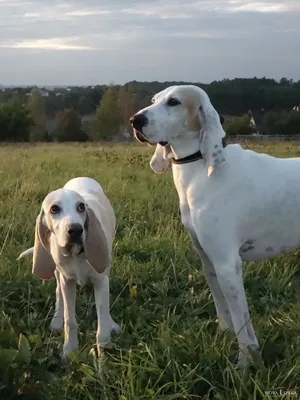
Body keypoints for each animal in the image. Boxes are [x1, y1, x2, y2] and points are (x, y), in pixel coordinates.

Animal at [17, 178, 119, 360]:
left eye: (81, 207)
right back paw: (57, 320)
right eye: (54, 209)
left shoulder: (101, 281)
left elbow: (102, 322)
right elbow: (70, 320)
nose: (76, 230)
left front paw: (103, 354)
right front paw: (69, 350)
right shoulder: (68, 282)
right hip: (58, 273)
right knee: (58, 292)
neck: (76, 254)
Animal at [130, 84, 300, 366]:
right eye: (154, 99)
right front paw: (227, 334)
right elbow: (226, 309)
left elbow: (242, 322)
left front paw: (244, 362)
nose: (135, 120)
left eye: (174, 102)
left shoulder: (227, 264)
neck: (200, 168)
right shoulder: (208, 259)